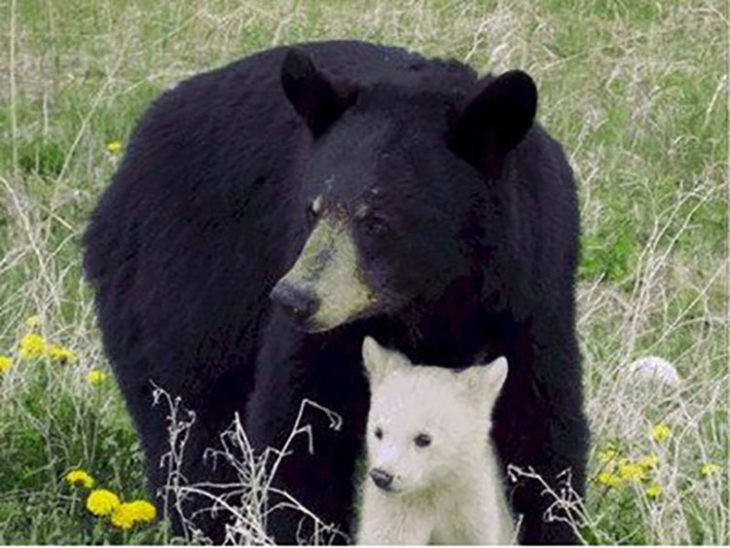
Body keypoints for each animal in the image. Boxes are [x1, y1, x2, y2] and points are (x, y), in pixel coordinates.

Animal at [82, 39, 588, 544]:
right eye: (312, 209)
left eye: (377, 221)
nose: (294, 299)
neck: (433, 296)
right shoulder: (328, 325)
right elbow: (300, 428)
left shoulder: (529, 294)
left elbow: (542, 430)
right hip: (180, 284)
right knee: (189, 423)